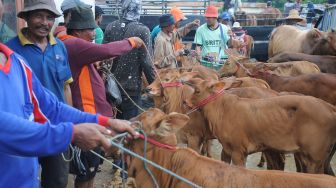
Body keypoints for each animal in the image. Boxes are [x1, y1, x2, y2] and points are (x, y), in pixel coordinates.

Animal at [184, 77, 336, 174]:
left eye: (197, 90)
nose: (185, 101)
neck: (222, 109)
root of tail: (328, 107)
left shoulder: (239, 152)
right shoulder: (226, 149)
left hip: (314, 158)